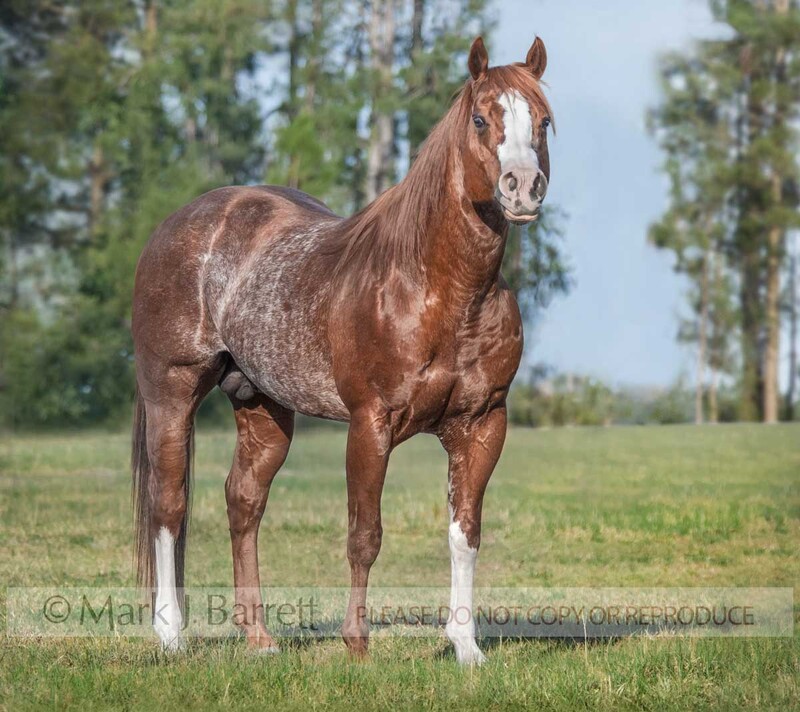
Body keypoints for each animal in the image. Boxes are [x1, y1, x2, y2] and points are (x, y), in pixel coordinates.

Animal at [131, 36, 552, 666]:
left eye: (544, 122)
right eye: (481, 119)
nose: (523, 187)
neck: (441, 290)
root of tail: (179, 225)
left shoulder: (482, 425)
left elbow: (464, 535)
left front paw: (466, 647)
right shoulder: (370, 423)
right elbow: (364, 535)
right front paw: (357, 643)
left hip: (262, 406)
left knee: (243, 502)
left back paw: (259, 639)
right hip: (172, 393)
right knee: (168, 506)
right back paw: (171, 636)